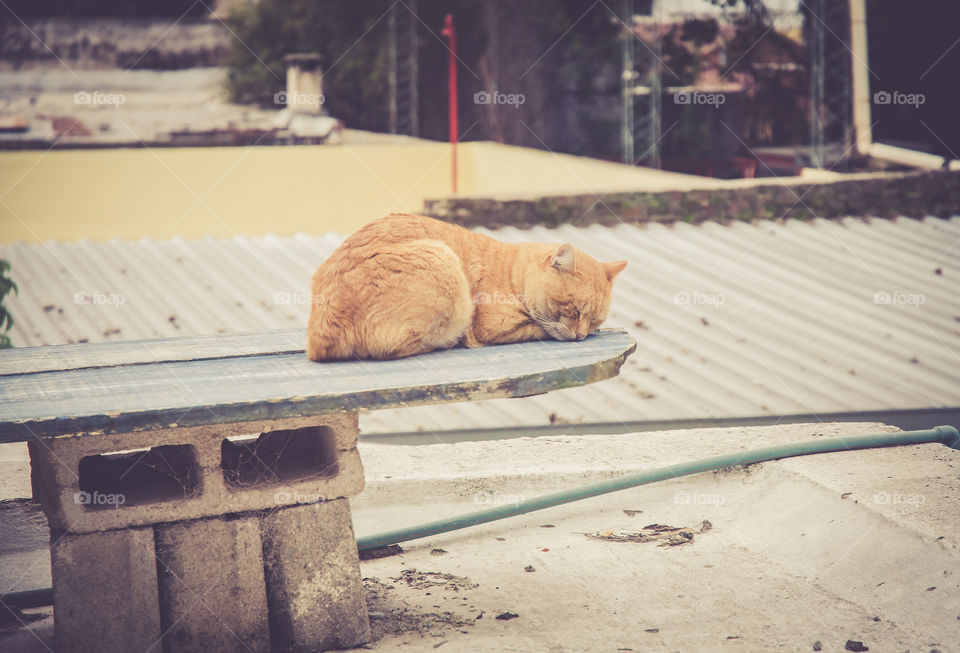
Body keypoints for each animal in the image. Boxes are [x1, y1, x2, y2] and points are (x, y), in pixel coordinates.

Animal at [304, 213, 628, 362]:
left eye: (595, 319)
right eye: (573, 310)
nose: (580, 335)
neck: (513, 272)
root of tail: (316, 343)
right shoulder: (493, 324)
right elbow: (536, 328)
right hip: (441, 259)